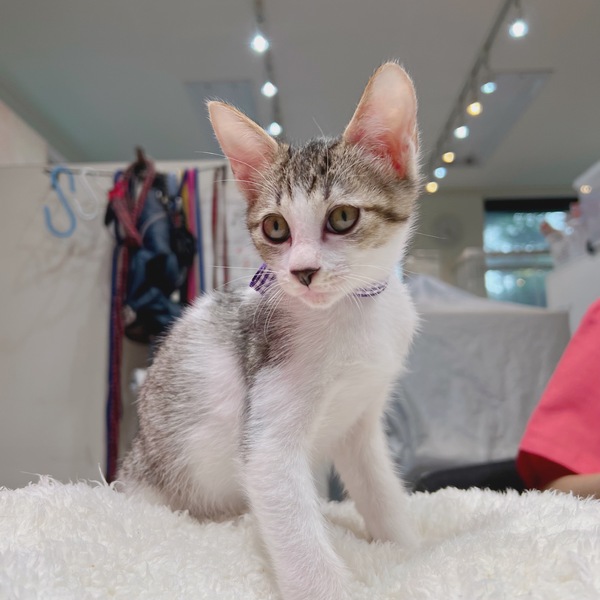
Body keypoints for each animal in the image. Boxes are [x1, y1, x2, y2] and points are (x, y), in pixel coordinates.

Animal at [118, 61, 421, 600]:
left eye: (343, 217)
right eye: (275, 228)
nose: (302, 272)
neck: (354, 313)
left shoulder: (362, 419)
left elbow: (379, 489)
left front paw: (407, 551)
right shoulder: (268, 422)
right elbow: (286, 509)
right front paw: (326, 584)